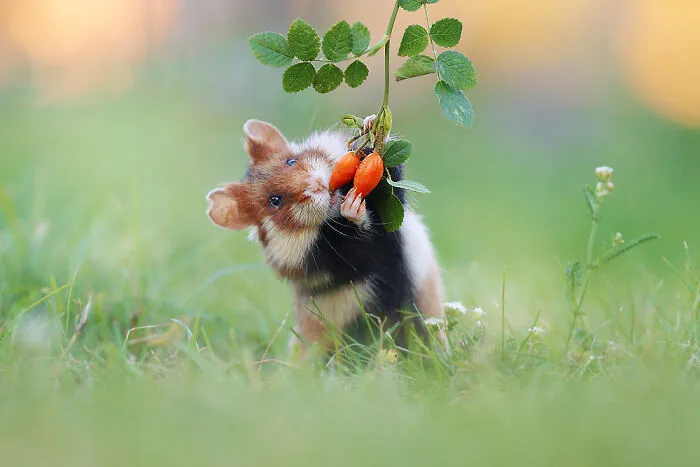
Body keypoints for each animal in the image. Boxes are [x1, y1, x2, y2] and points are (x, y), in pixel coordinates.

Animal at [206, 119, 445, 356]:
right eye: (275, 201)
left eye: (291, 161)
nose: (317, 186)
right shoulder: (330, 259)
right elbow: (357, 242)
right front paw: (352, 207)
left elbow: (392, 184)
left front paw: (370, 129)